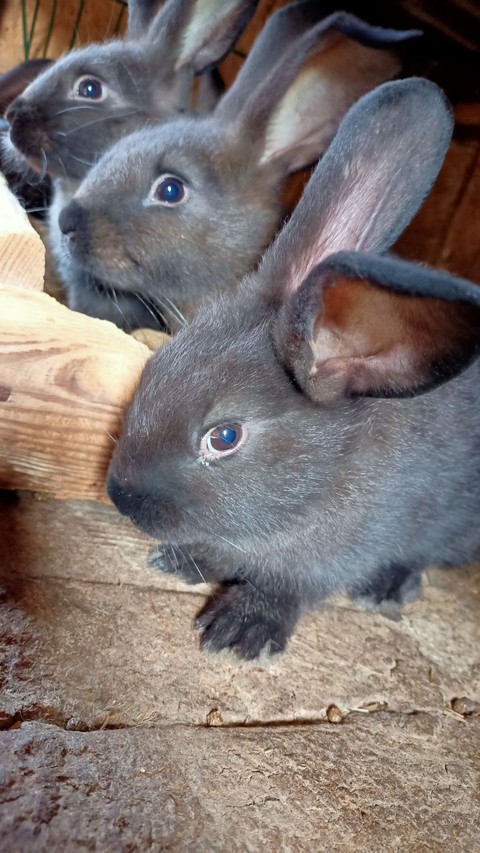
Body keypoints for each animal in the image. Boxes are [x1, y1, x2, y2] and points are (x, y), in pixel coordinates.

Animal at [106, 77, 480, 661]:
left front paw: (238, 632)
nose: (120, 497)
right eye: (155, 367)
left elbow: (286, 587)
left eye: (225, 437)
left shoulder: (333, 555)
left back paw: (386, 587)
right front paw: (182, 562)